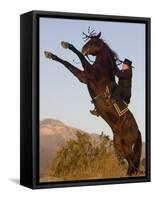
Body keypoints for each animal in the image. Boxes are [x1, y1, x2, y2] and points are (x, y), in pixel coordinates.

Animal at [44, 30, 141, 176]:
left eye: (93, 42)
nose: (84, 49)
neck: (103, 67)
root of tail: (139, 132)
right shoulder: (83, 77)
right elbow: (67, 63)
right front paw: (50, 54)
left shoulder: (88, 74)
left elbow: (78, 58)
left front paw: (66, 45)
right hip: (120, 145)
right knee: (129, 164)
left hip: (128, 145)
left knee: (133, 165)